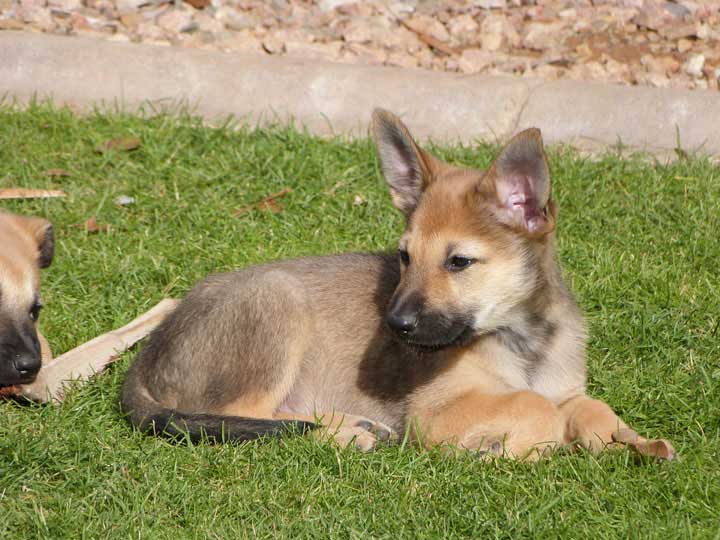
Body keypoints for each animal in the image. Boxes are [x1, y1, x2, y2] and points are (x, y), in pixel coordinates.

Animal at [122, 108, 676, 460]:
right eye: (405, 256)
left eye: (459, 262)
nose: (394, 325)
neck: (522, 340)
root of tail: (148, 354)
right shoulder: (433, 412)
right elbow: (533, 406)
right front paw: (507, 447)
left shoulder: (565, 388)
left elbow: (591, 408)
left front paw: (632, 442)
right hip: (277, 304)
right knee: (244, 419)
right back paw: (347, 433)